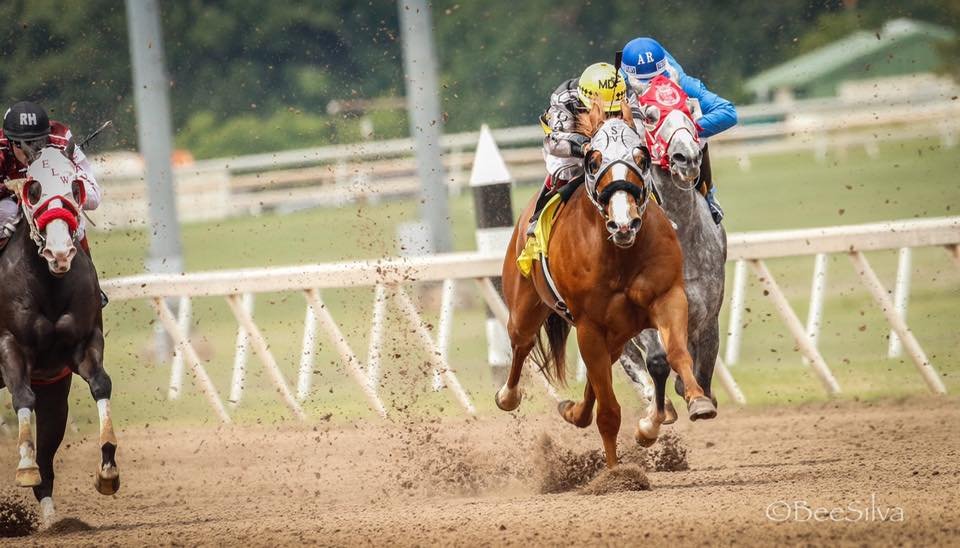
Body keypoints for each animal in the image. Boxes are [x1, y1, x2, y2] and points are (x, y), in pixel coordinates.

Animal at [0, 145, 118, 526]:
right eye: (34, 189)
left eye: (74, 186)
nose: (60, 252)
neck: (47, 284)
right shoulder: (10, 345)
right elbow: (21, 395)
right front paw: (24, 465)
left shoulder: (82, 346)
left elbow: (101, 384)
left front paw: (108, 468)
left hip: (54, 393)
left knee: (49, 457)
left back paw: (52, 517)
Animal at [496, 100, 716, 467]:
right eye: (594, 160)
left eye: (641, 156)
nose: (624, 223)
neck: (618, 254)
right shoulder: (588, 323)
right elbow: (609, 411)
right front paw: (615, 471)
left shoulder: (667, 297)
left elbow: (675, 353)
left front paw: (697, 401)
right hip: (526, 305)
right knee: (521, 343)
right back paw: (508, 396)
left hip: (616, 333)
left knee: (596, 379)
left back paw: (575, 412)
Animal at [620, 75, 727, 441]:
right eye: (651, 116)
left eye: (689, 110)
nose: (687, 157)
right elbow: (656, 360)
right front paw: (654, 418)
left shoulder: (707, 314)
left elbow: (702, 365)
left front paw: (700, 400)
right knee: (628, 359)